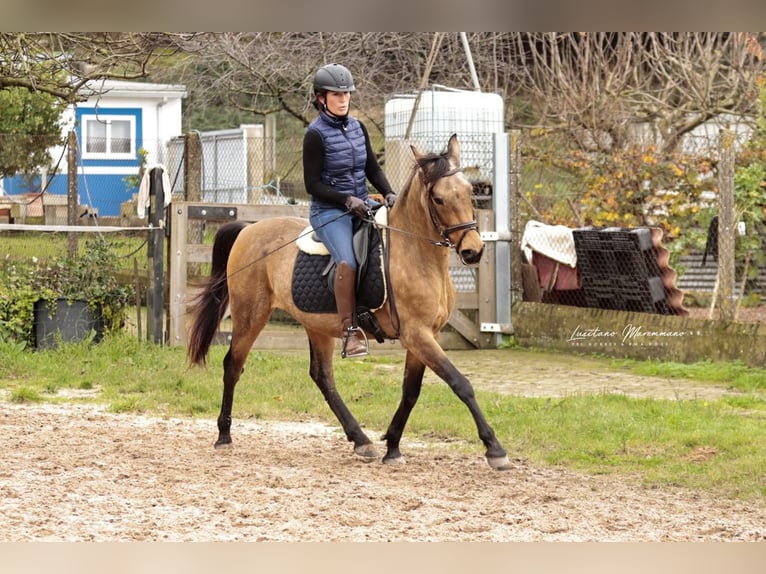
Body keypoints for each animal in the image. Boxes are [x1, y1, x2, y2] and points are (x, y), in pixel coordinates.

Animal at [187, 134, 511, 470]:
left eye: (469, 192)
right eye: (438, 199)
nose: (473, 251)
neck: (415, 253)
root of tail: (249, 229)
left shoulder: (425, 336)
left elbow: (411, 391)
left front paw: (392, 445)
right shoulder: (417, 334)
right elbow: (460, 383)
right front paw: (494, 449)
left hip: (316, 324)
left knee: (322, 377)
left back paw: (360, 440)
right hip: (251, 315)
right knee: (233, 365)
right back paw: (224, 436)